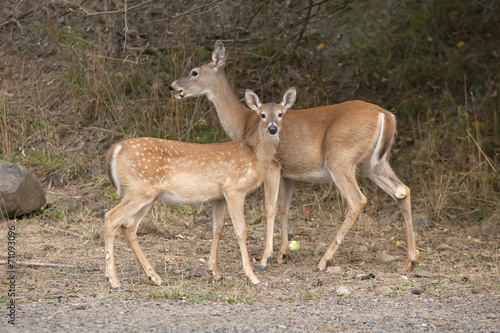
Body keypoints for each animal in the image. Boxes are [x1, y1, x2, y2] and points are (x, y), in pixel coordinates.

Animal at [103, 87, 294, 290]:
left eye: (281, 114)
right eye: (262, 114)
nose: (272, 129)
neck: (254, 156)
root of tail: (114, 150)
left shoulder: (218, 196)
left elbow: (218, 228)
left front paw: (215, 273)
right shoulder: (233, 189)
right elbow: (241, 230)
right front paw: (252, 276)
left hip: (147, 195)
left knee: (129, 226)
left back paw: (154, 277)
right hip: (139, 190)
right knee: (111, 218)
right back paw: (114, 281)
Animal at [170, 39, 420, 272]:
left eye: (194, 71)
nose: (173, 87)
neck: (244, 122)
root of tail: (385, 115)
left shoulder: (272, 164)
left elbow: (269, 207)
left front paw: (265, 259)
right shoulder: (288, 172)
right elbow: (284, 207)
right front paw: (283, 253)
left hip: (340, 157)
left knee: (358, 200)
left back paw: (324, 260)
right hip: (373, 162)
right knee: (402, 190)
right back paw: (410, 261)